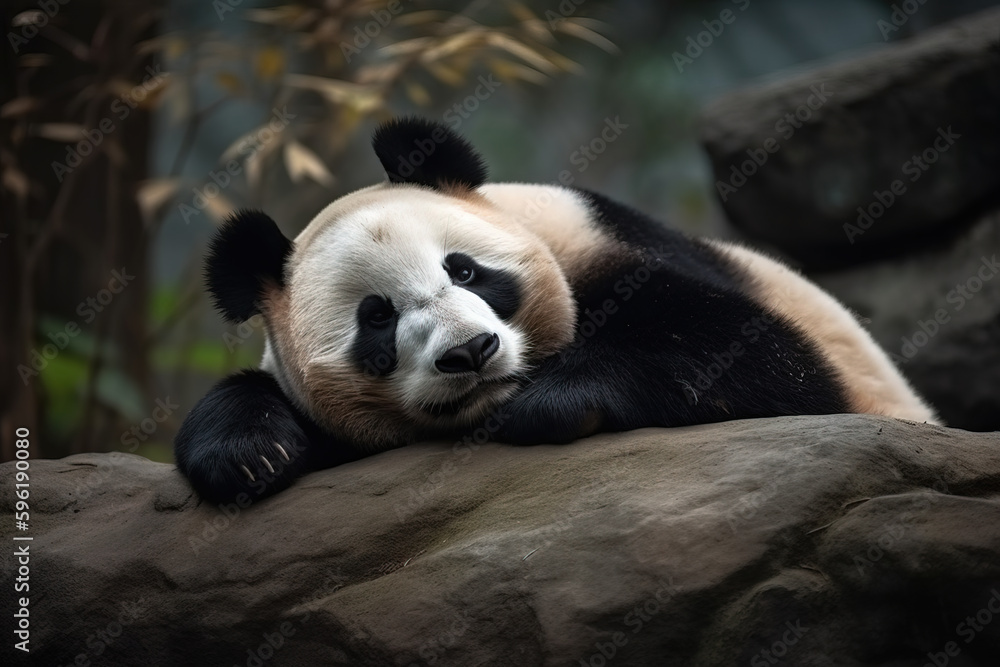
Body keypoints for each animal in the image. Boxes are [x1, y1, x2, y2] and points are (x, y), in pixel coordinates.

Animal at [174, 116, 939, 503]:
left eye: (464, 270)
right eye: (377, 319)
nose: (471, 353)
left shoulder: (611, 249)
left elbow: (770, 361)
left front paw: (554, 401)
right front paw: (249, 454)